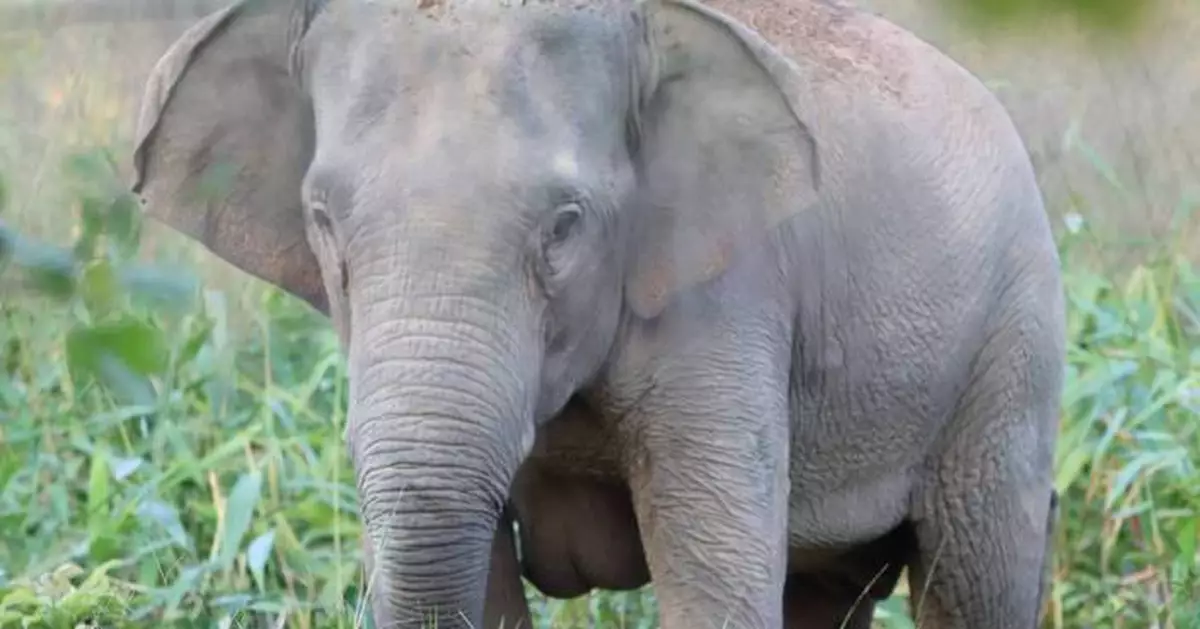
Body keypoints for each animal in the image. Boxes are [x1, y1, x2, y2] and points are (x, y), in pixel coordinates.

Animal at [129, 0, 1067, 627]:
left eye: (564, 223)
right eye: (321, 216)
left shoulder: (728, 297)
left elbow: (717, 579)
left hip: (1010, 352)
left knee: (977, 575)